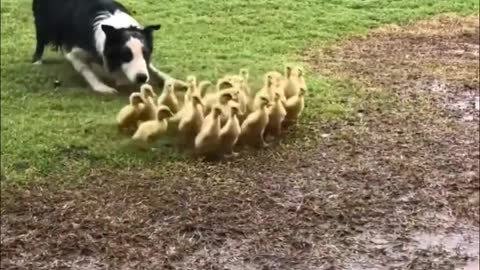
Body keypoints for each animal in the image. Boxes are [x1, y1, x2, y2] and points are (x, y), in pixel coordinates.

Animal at [30, 0, 184, 94]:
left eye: (145, 53)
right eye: (125, 55)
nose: (141, 78)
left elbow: (154, 69)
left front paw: (173, 80)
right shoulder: (75, 53)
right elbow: (87, 71)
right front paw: (102, 88)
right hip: (42, 23)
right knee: (40, 41)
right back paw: (37, 61)